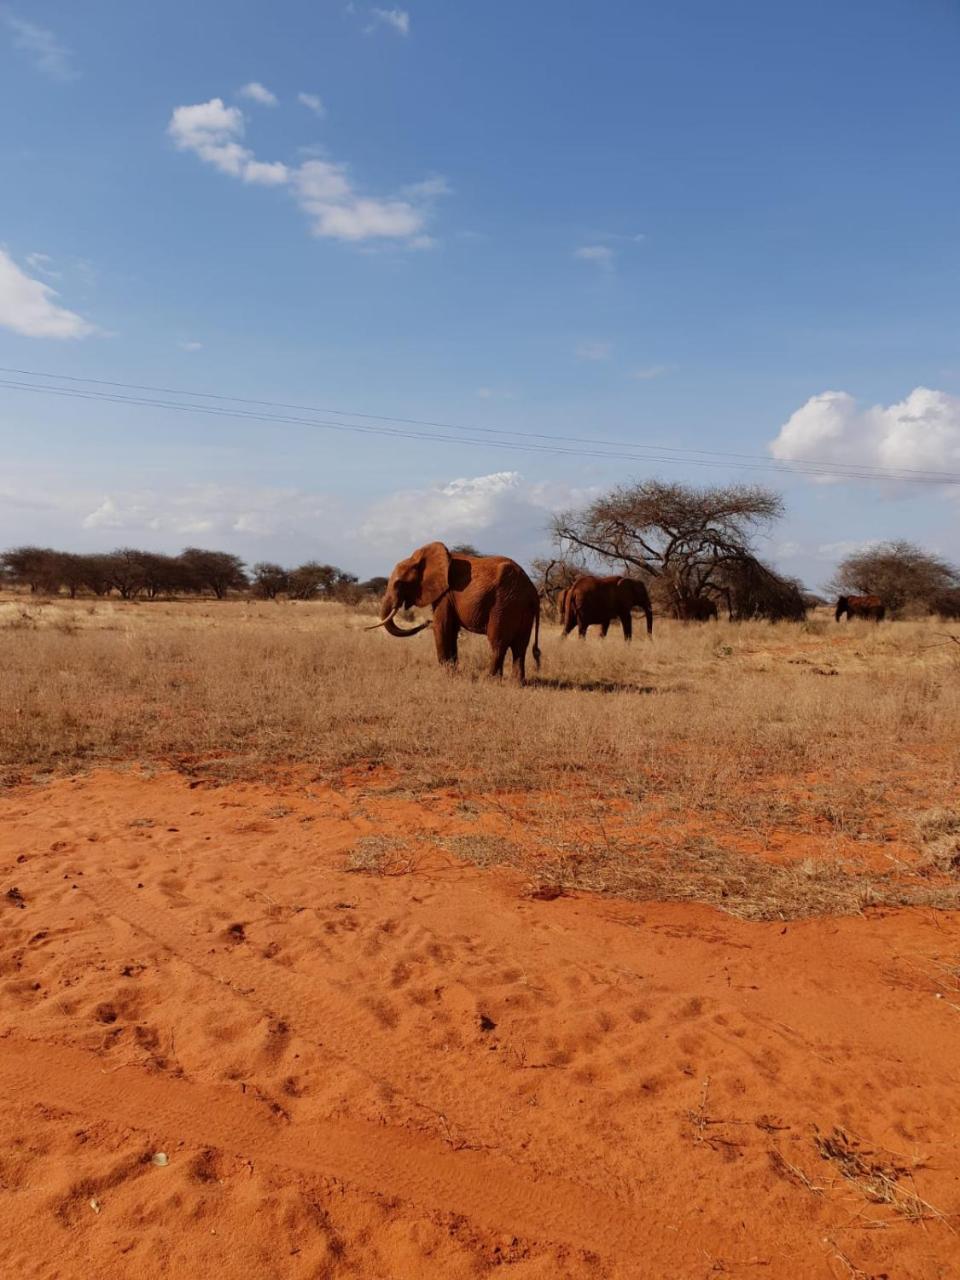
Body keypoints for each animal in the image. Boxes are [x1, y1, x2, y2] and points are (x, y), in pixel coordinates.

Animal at [368, 540, 542, 680]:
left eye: (399, 583)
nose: (426, 622)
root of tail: (533, 592)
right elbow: (451, 630)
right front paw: (454, 672)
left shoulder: (446, 594)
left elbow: (442, 626)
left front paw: (447, 674)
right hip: (521, 607)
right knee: (520, 646)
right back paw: (516, 683)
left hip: (505, 604)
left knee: (498, 643)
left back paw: (490, 680)